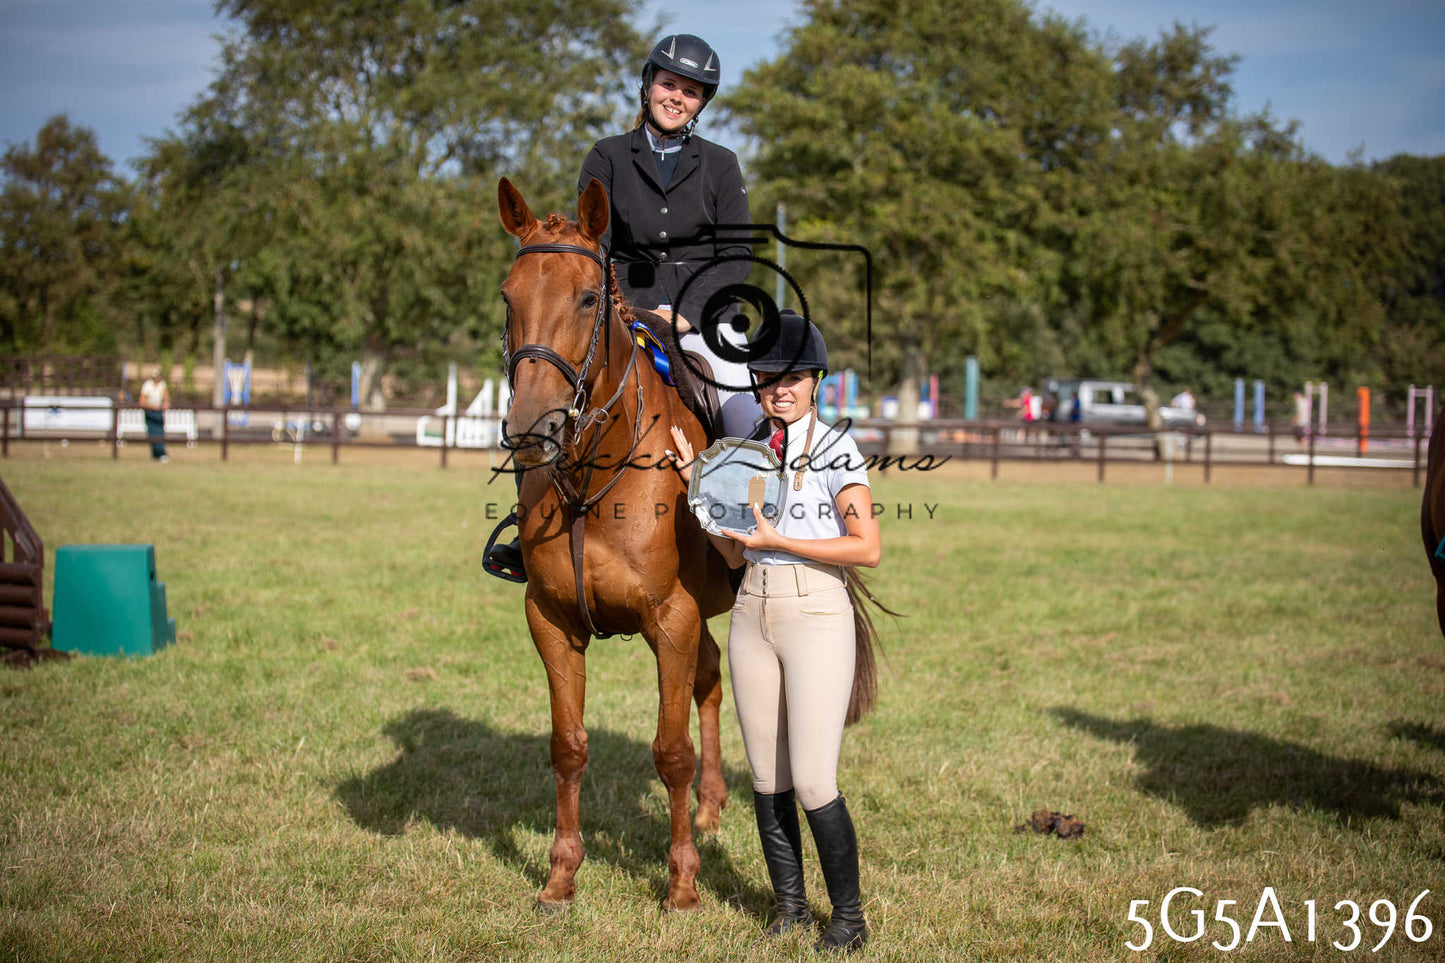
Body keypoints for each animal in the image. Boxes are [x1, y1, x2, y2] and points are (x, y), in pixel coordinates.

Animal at [495, 176, 736, 911]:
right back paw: (711, 805)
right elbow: (568, 747)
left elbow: (670, 751)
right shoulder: (551, 621)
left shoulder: (671, 618)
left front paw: (681, 884)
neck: (593, 477)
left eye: (587, 297)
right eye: (508, 295)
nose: (531, 428)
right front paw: (560, 876)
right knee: (710, 679)